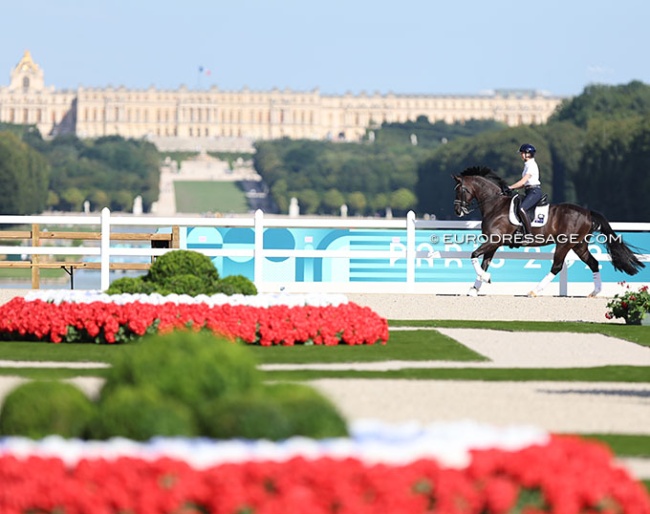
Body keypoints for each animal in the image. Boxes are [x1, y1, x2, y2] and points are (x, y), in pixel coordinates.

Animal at [450, 166, 644, 296]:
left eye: (460, 190)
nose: (457, 211)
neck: (495, 205)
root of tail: (587, 212)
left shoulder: (494, 240)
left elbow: (474, 255)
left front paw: (485, 279)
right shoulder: (494, 243)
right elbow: (484, 262)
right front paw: (475, 288)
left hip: (565, 244)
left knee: (557, 266)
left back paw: (534, 291)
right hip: (579, 245)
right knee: (593, 263)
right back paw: (595, 292)